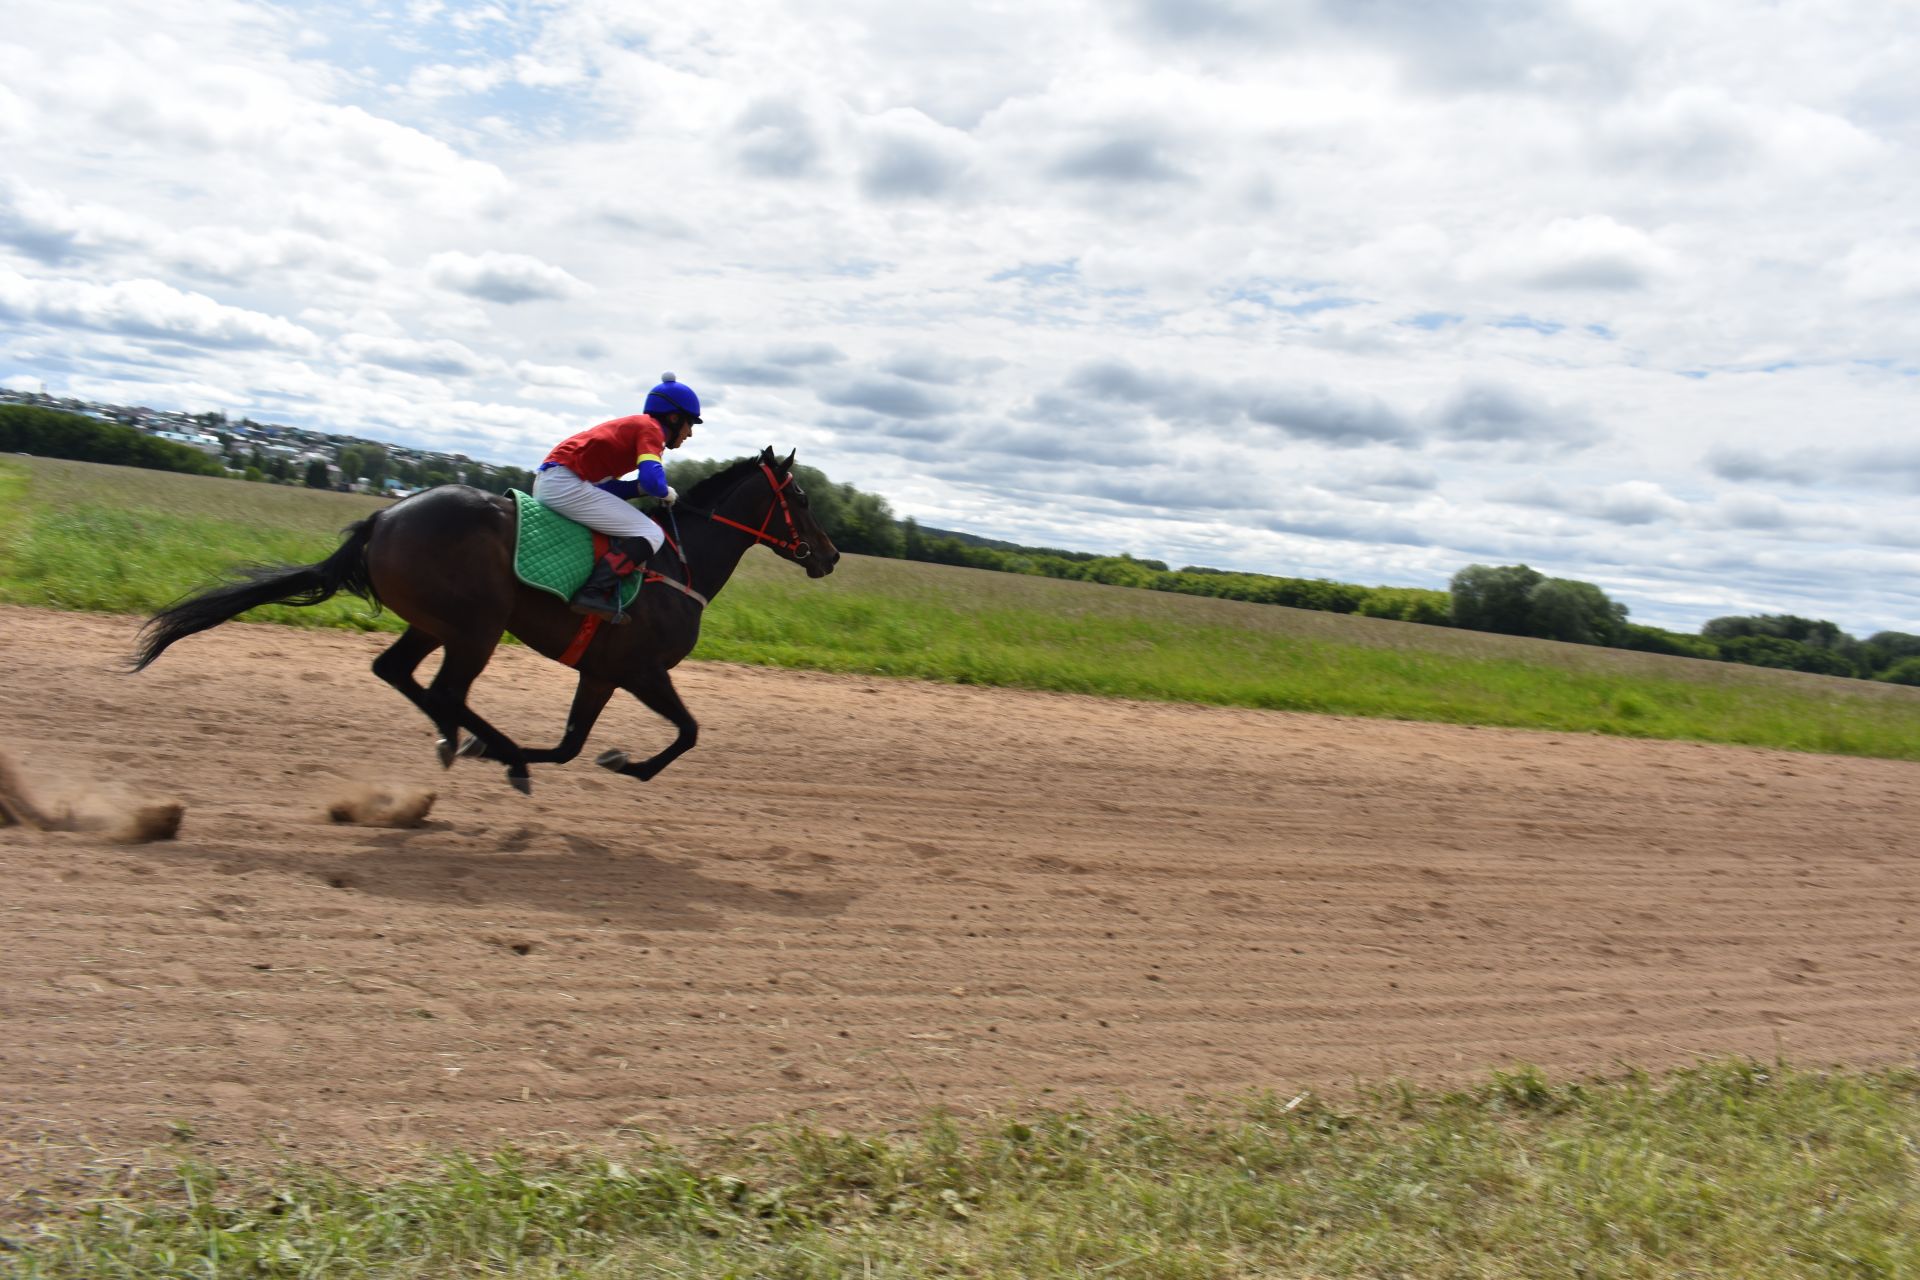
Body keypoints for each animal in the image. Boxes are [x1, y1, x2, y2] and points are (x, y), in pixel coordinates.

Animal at [135, 449, 840, 790]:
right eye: (803, 497)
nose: (830, 555)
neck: (676, 562)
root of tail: (384, 516)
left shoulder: (601, 670)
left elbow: (572, 743)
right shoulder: (640, 670)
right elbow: (687, 732)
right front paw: (625, 764)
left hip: (436, 621)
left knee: (396, 671)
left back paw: (459, 740)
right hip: (477, 626)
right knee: (445, 689)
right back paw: (485, 746)